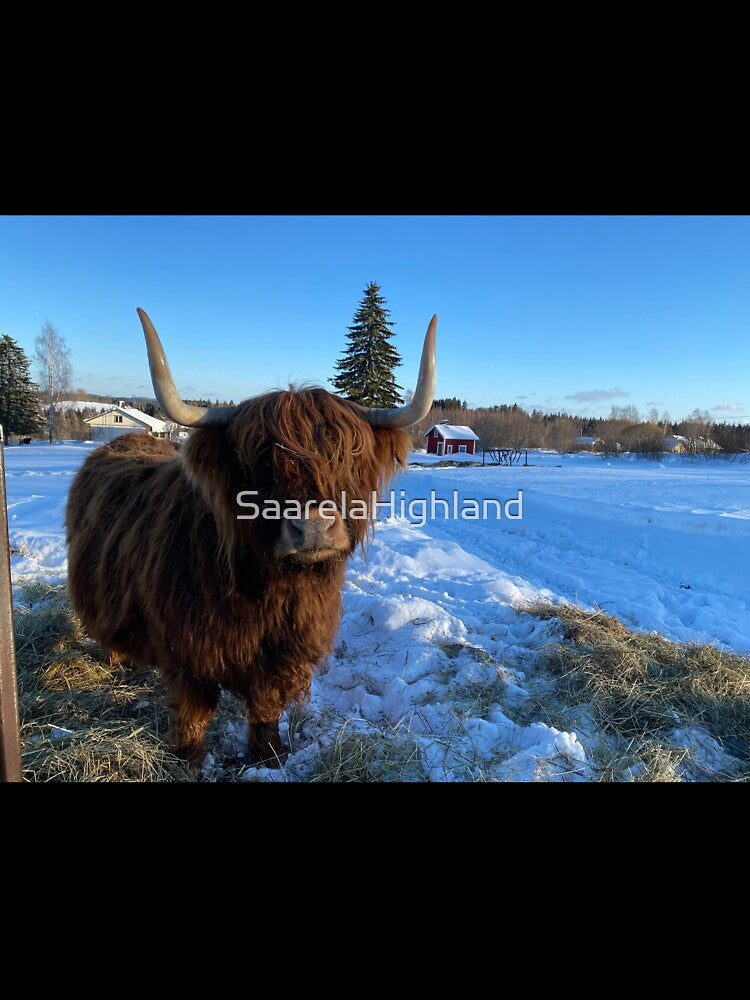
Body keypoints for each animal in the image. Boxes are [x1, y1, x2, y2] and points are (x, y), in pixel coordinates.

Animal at [66, 307, 436, 768]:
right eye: (258, 462)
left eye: (349, 456)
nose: (313, 527)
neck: (273, 590)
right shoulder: (189, 651)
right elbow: (194, 711)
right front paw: (187, 759)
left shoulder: (284, 652)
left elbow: (265, 705)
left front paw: (269, 755)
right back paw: (120, 665)